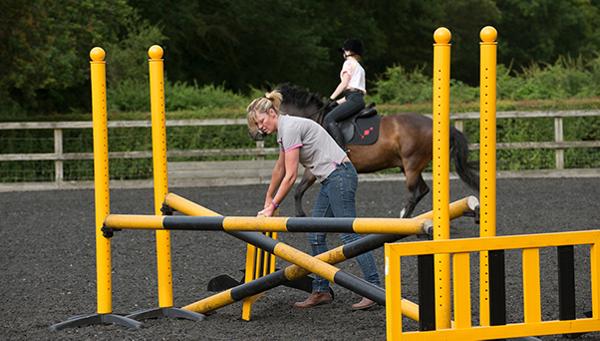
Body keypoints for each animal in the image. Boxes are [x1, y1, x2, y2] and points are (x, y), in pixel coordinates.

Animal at [247, 84, 478, 218]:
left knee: (415, 192)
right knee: (422, 190)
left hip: (412, 164)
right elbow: (302, 191)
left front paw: (301, 216)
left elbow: (297, 191)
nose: (254, 134)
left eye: (256, 120)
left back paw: (403, 216)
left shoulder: (312, 170)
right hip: (409, 166)